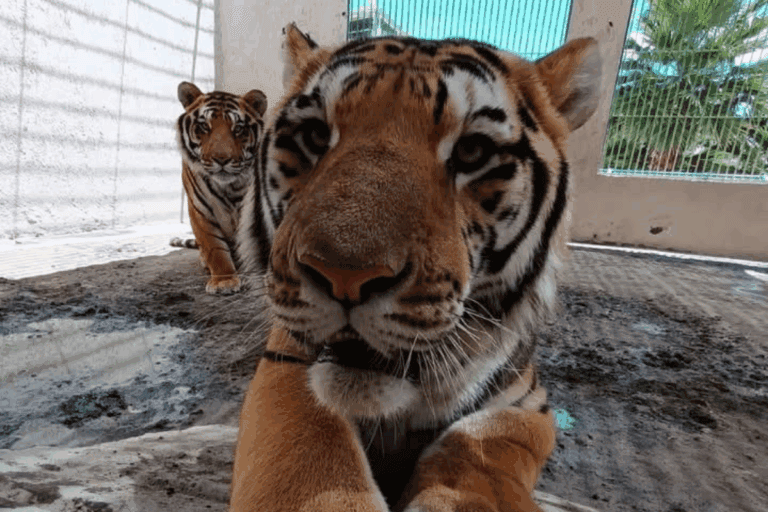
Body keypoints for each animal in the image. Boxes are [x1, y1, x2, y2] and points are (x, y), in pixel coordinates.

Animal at [174, 81, 267, 294]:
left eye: (238, 128)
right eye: (203, 126)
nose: (222, 159)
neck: (231, 185)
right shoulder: (201, 210)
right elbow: (215, 248)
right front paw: (224, 281)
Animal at [230, 24, 601, 512]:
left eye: (472, 150)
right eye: (314, 135)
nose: (344, 278)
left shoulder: (527, 404)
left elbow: (479, 443)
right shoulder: (284, 365)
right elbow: (312, 455)